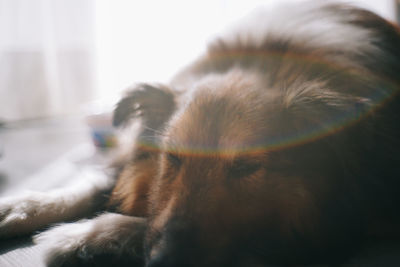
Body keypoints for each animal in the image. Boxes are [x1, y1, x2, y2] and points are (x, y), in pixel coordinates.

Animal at [0, 2, 400, 267]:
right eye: (174, 158)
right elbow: (96, 181)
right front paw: (21, 206)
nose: (162, 261)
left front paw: (80, 235)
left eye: (245, 167)